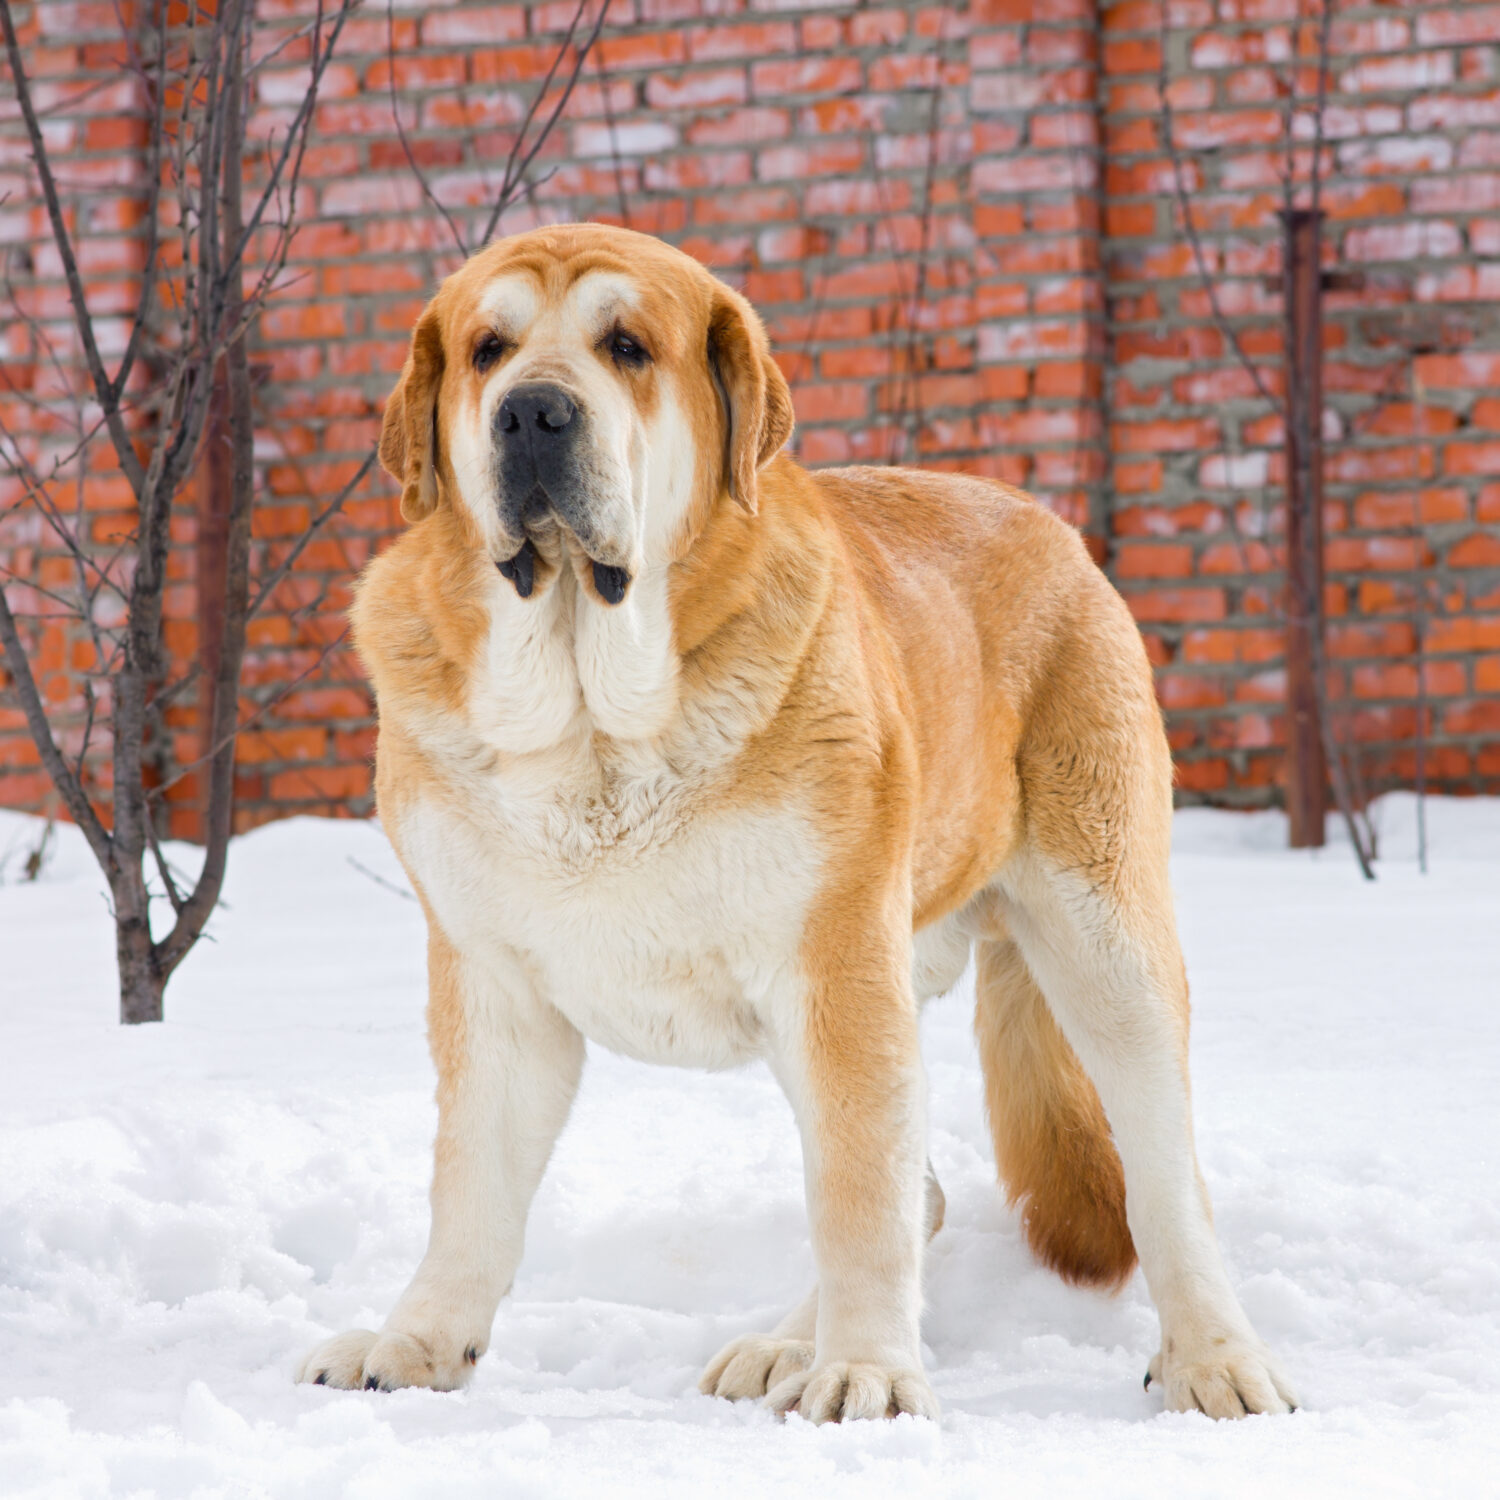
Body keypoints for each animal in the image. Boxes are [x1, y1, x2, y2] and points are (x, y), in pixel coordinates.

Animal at [298, 219, 1296, 1416]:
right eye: (487, 350)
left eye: (627, 347)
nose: (533, 413)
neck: (594, 723)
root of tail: (1047, 522)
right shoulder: (494, 986)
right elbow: (470, 1194)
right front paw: (416, 1344)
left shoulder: (834, 967)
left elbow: (859, 1197)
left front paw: (868, 1374)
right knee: (918, 1190)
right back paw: (781, 1345)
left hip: (1102, 942)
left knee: (1158, 1178)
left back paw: (1214, 1357)